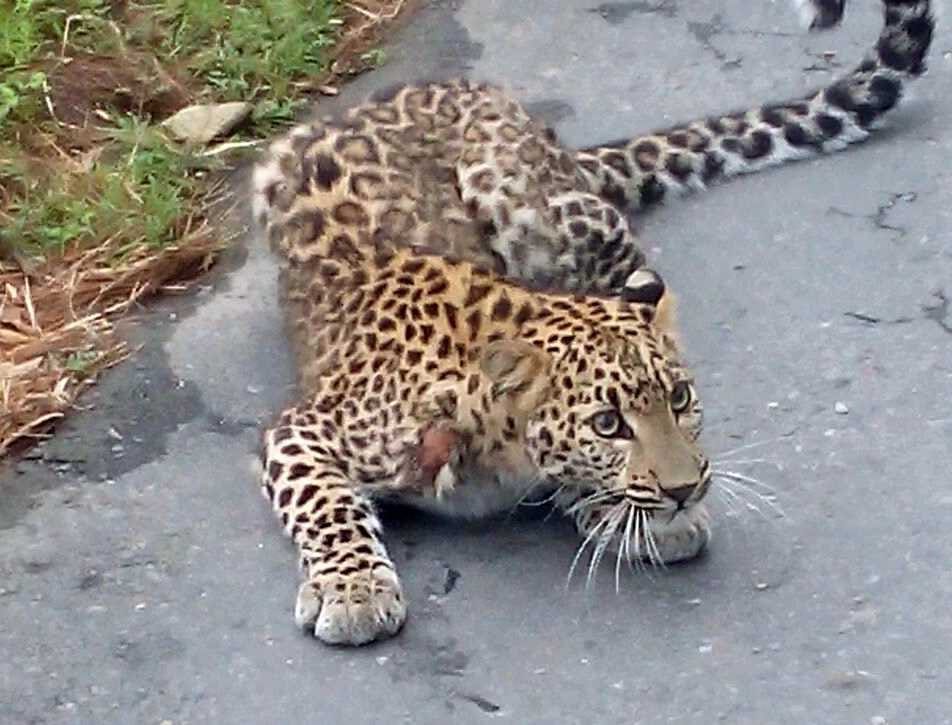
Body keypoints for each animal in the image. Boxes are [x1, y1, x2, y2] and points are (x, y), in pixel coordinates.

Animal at [251, 0, 934, 646]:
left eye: (680, 399)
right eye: (608, 424)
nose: (686, 489)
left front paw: (650, 518)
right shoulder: (302, 430)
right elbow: (328, 505)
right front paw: (355, 592)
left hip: (533, 204)